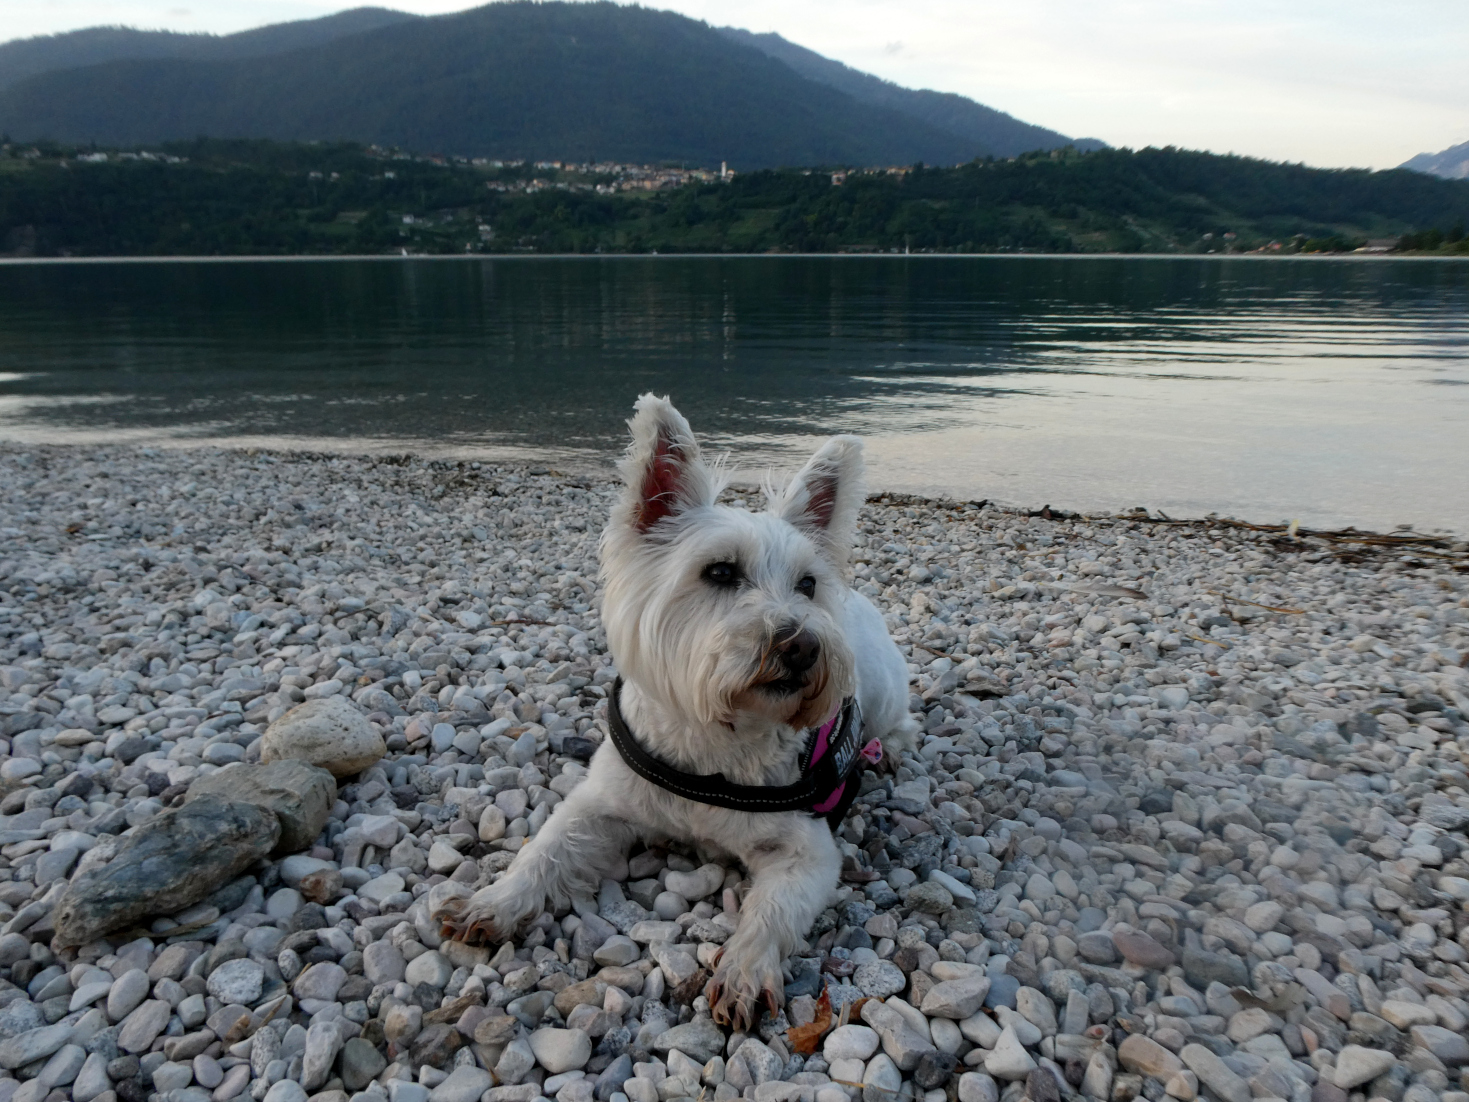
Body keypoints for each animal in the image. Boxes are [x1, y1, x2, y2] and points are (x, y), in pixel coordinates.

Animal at [434, 399, 910, 1034]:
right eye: (720, 572)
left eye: (808, 584)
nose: (804, 646)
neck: (713, 740)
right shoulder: (599, 803)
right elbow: (545, 848)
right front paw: (494, 902)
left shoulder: (808, 852)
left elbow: (772, 911)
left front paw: (743, 970)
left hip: (879, 688)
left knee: (899, 721)